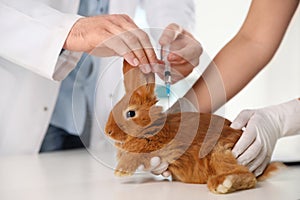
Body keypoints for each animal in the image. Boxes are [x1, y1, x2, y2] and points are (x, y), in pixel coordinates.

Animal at [104, 60, 282, 194]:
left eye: (130, 113)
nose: (108, 132)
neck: (151, 126)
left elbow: (134, 156)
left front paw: (121, 171)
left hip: (219, 152)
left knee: (247, 176)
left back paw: (222, 183)